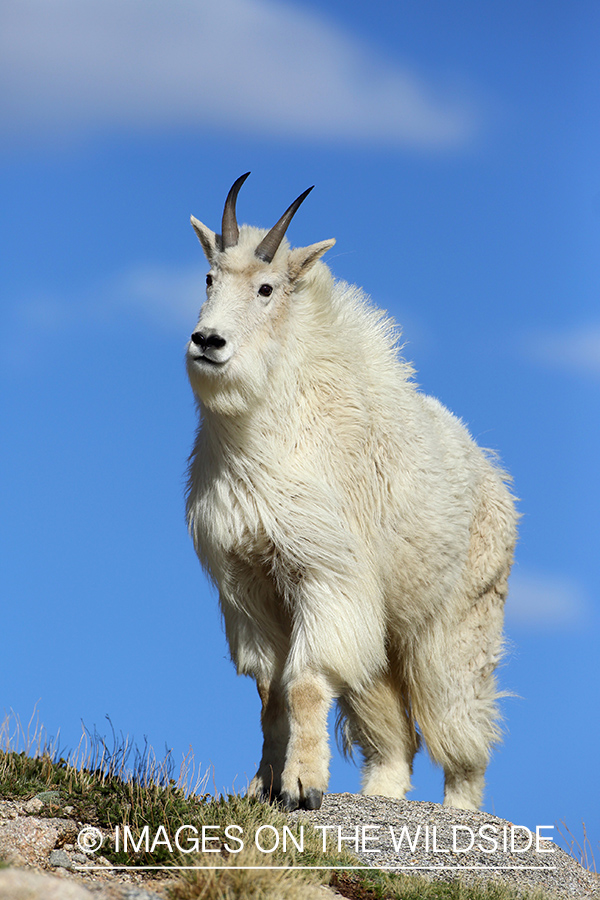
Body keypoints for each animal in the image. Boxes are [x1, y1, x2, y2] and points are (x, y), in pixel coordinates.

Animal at [185, 172, 516, 812]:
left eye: (266, 288)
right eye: (209, 278)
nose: (207, 342)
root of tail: (491, 473)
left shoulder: (327, 577)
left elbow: (306, 683)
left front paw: (303, 786)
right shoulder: (249, 590)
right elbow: (269, 693)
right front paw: (261, 785)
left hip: (455, 627)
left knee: (461, 731)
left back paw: (461, 812)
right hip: (383, 636)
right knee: (395, 735)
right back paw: (383, 795)